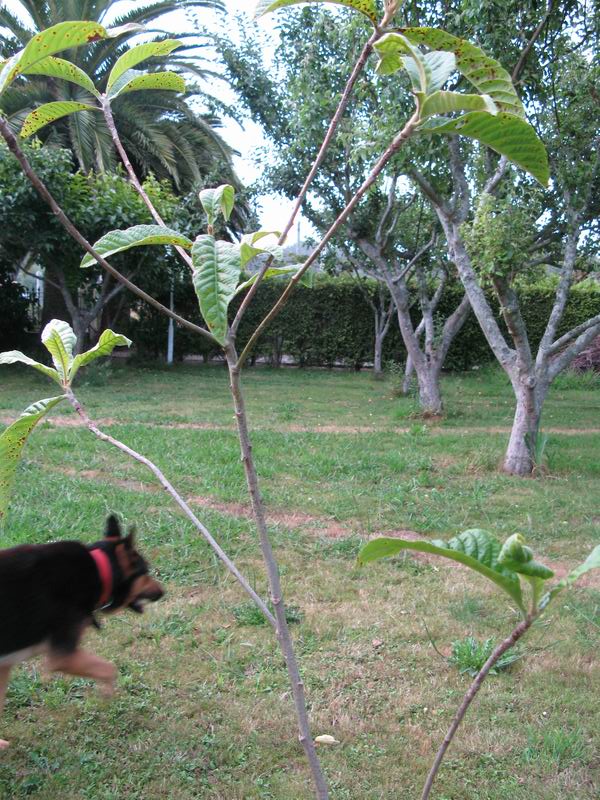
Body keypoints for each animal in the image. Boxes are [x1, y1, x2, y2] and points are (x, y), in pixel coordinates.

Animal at [0, 516, 164, 748]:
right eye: (145, 571)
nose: (162, 591)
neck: (100, 570)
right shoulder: (63, 656)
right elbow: (109, 669)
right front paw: (107, 693)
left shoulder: (4, 663)